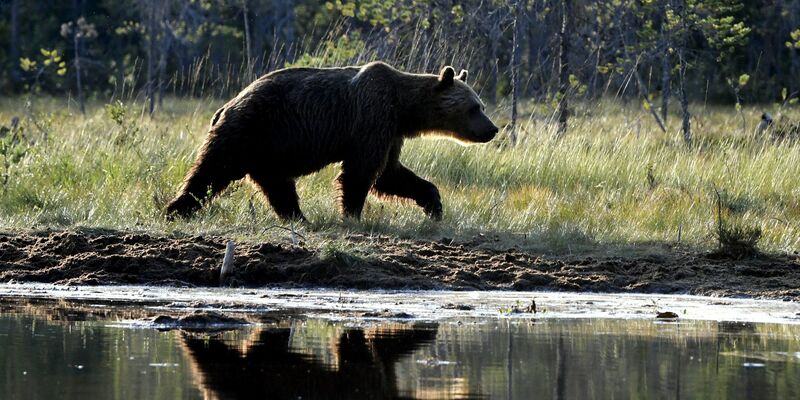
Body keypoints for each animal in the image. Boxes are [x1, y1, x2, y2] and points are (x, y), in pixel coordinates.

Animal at [165, 61, 498, 222]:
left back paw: (299, 218)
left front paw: (434, 206)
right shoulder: (371, 118)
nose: (492, 129)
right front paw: (351, 214)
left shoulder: (390, 132)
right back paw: (176, 208)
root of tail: (225, 105)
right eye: (474, 108)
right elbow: (362, 172)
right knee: (211, 170)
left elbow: (391, 173)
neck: (404, 108)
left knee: (278, 185)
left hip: (267, 150)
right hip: (249, 130)